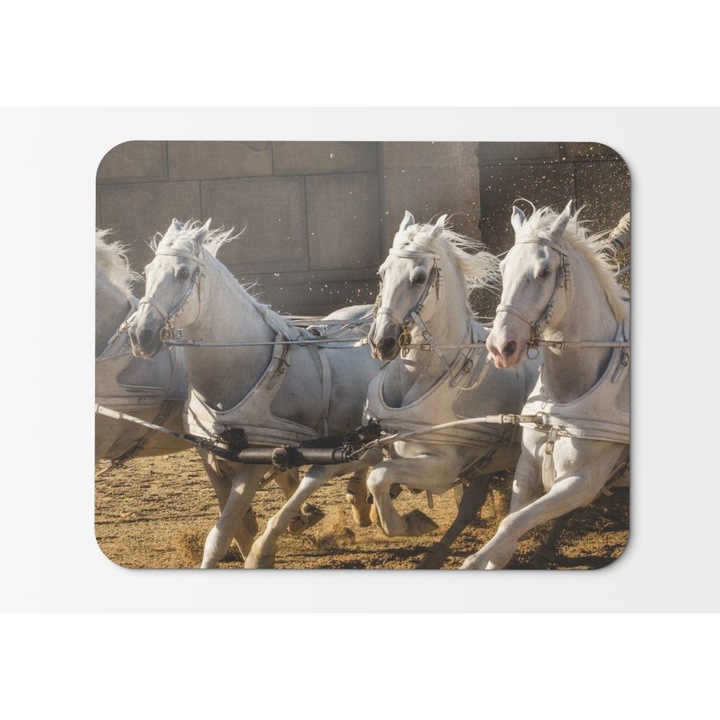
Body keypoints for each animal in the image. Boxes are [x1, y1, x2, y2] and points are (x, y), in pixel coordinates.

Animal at [128, 219, 385, 568]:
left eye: (183, 273)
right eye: (148, 269)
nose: (140, 334)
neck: (240, 365)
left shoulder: (253, 463)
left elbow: (219, 536)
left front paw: (257, 549)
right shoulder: (210, 455)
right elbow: (231, 522)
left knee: (339, 465)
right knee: (357, 460)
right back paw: (358, 501)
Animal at [362, 211, 542, 566]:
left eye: (419, 278)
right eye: (382, 272)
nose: (381, 342)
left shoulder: (442, 467)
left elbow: (379, 476)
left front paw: (411, 523)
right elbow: (370, 472)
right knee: (470, 506)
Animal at [461, 201, 629, 569]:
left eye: (544, 272)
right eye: (504, 267)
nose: (500, 347)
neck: (567, 395)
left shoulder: (582, 482)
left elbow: (512, 523)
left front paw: (472, 561)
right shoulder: (527, 467)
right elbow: (508, 532)